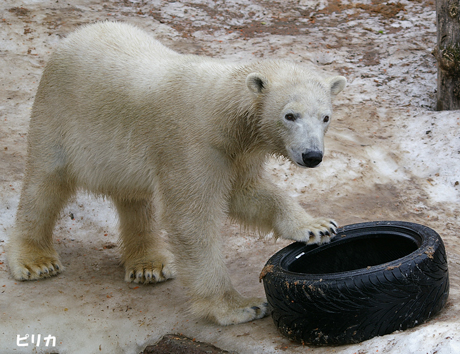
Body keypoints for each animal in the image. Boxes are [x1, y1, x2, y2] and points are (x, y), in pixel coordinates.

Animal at [7, 22, 344, 324]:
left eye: (325, 117)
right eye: (290, 115)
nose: (313, 155)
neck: (223, 114)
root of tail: (75, 36)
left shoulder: (237, 153)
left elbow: (247, 193)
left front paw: (316, 226)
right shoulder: (191, 143)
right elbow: (191, 218)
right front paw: (240, 307)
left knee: (133, 197)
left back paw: (149, 265)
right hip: (59, 114)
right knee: (45, 183)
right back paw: (35, 261)